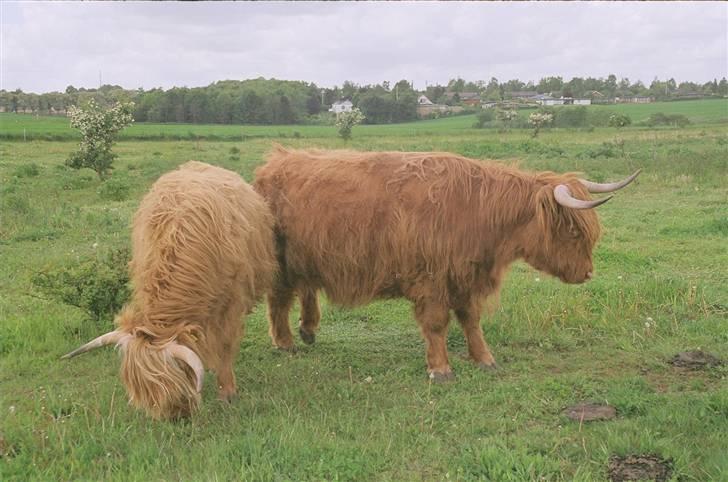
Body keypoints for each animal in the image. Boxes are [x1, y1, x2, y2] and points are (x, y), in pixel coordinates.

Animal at [254, 146, 640, 381]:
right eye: (573, 231)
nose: (587, 272)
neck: (476, 212)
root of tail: (276, 161)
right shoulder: (432, 280)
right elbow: (438, 324)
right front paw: (440, 369)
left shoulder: (466, 278)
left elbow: (471, 321)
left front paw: (485, 359)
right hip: (282, 259)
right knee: (280, 299)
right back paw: (286, 341)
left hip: (308, 256)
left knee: (306, 288)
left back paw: (309, 330)